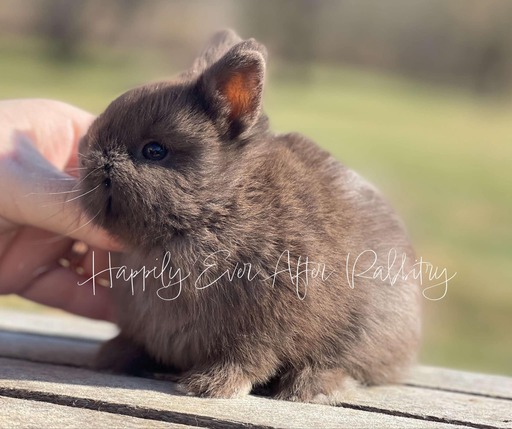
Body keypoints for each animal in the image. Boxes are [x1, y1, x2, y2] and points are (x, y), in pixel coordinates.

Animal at [78, 29, 422, 402]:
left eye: (154, 150)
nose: (90, 157)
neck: (215, 209)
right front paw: (111, 356)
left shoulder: (266, 324)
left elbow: (249, 357)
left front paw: (208, 386)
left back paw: (308, 388)